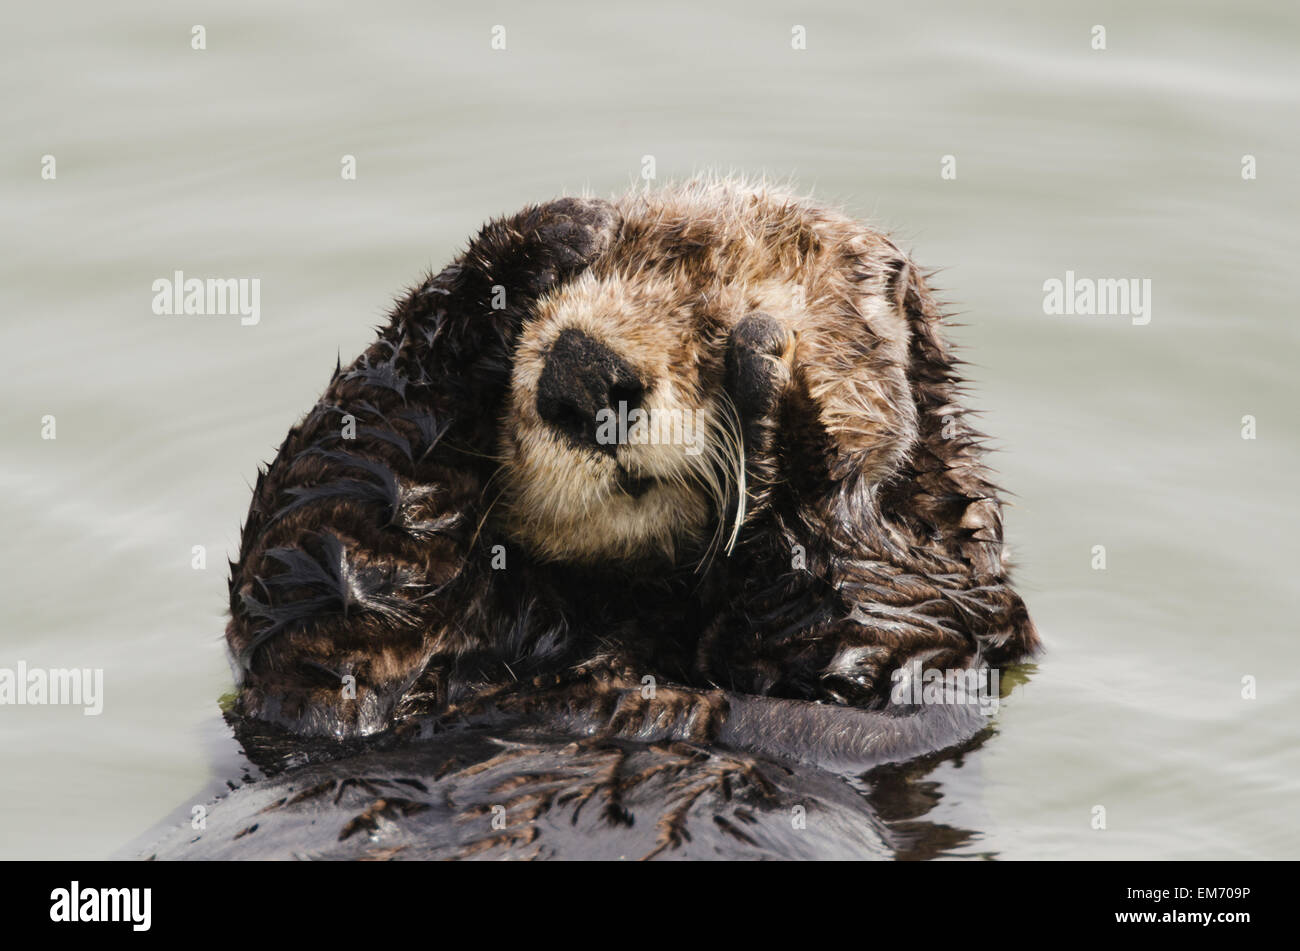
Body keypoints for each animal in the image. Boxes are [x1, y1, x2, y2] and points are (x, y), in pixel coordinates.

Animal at [208, 179, 1036, 853]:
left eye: (716, 310)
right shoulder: (338, 684)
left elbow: (856, 619)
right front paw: (557, 231)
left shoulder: (941, 618)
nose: (581, 368)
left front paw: (775, 398)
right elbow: (334, 554)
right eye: (537, 319)